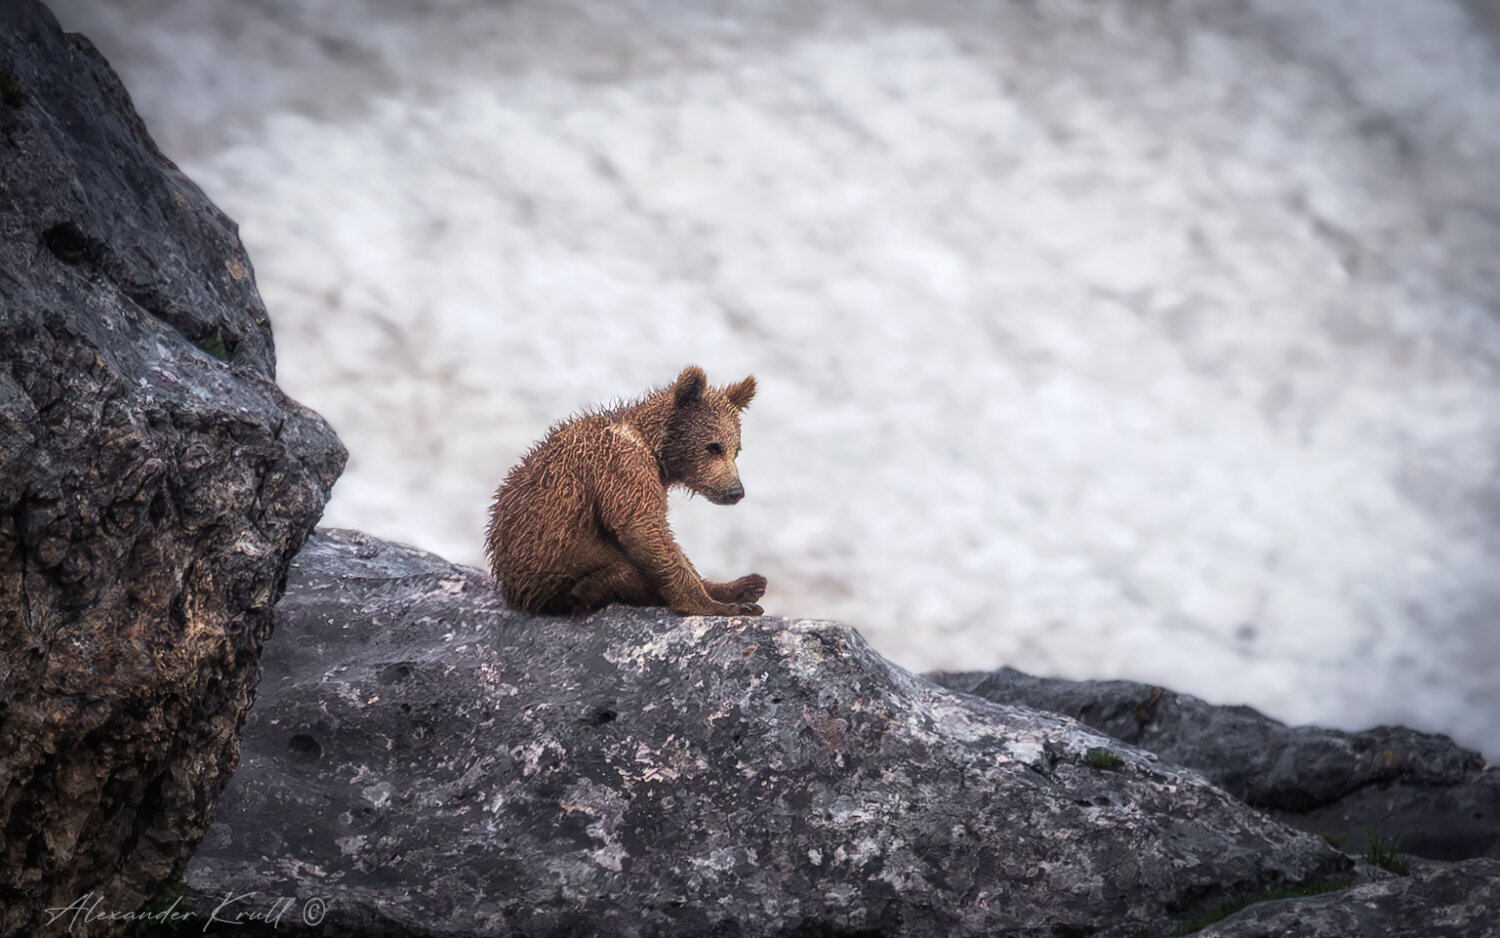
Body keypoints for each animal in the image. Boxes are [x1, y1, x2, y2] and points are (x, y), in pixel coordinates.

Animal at [485, 366, 767, 617]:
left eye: (736, 450)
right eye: (713, 446)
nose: (735, 491)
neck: (652, 446)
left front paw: (730, 592)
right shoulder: (623, 468)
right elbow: (644, 529)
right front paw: (716, 605)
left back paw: (748, 585)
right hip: (555, 575)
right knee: (618, 574)